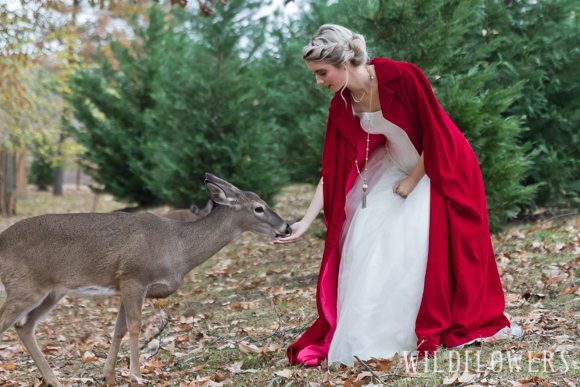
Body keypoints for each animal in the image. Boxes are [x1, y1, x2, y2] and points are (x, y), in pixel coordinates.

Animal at [0, 174, 290, 386]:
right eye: (258, 208)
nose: (285, 227)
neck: (179, 248)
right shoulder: (134, 276)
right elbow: (136, 326)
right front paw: (136, 375)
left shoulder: (124, 285)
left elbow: (119, 329)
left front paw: (109, 375)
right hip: (25, 285)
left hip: (52, 291)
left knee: (24, 327)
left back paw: (54, 381)